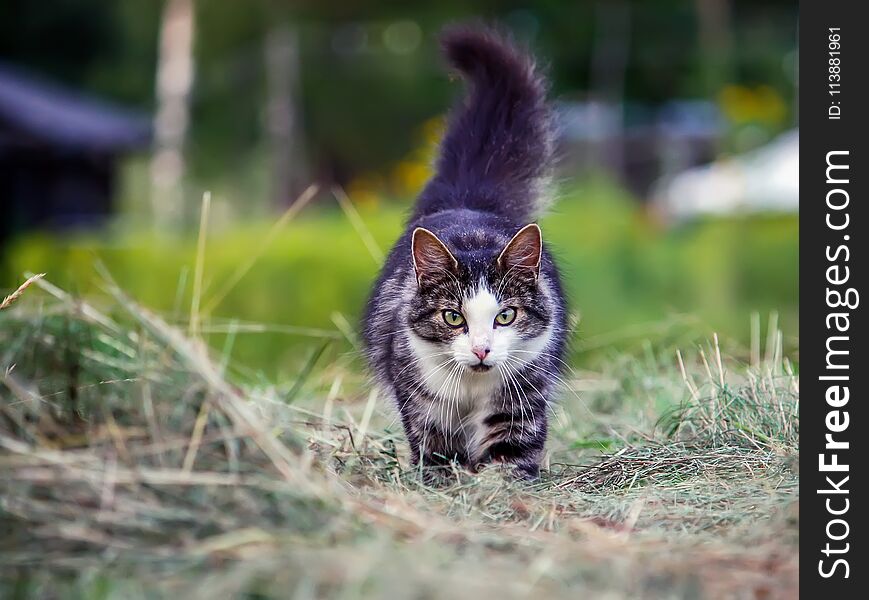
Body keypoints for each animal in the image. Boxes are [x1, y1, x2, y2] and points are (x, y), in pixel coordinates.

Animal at [362, 25, 568, 480]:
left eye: (505, 316)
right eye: (453, 317)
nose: (481, 350)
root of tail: (468, 201)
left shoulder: (522, 398)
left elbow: (511, 457)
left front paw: (498, 486)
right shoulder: (422, 403)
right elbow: (437, 454)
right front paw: (444, 484)